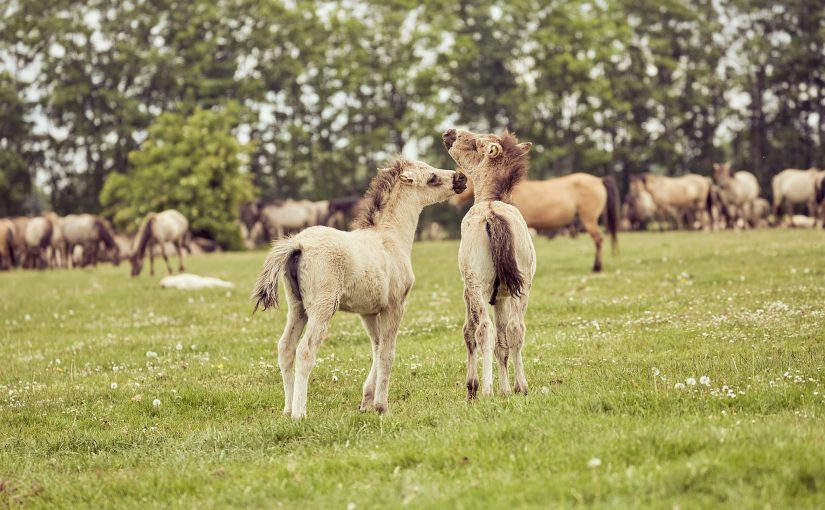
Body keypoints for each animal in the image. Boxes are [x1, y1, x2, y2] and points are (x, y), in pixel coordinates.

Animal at [248, 158, 466, 418]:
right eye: (432, 177)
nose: (461, 178)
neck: (390, 239)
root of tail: (298, 244)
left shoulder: (368, 312)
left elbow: (377, 347)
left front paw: (366, 401)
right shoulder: (395, 306)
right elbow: (387, 353)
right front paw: (382, 406)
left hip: (297, 307)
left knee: (286, 348)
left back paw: (287, 410)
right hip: (322, 308)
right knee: (305, 351)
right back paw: (300, 414)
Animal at [440, 127, 536, 398]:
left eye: (475, 142)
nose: (449, 132)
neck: (490, 198)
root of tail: (493, 214)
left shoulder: (468, 292)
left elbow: (469, 332)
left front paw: (472, 388)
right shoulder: (502, 296)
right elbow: (503, 343)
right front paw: (506, 390)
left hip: (478, 287)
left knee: (484, 330)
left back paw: (486, 390)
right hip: (522, 287)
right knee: (515, 329)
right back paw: (521, 386)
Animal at [448, 171, 616, 272]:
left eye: (463, 179)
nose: (453, 203)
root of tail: (598, 180)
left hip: (589, 220)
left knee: (598, 240)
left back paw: (597, 267)